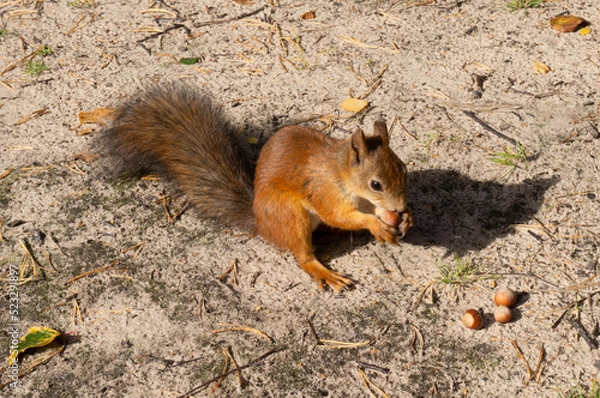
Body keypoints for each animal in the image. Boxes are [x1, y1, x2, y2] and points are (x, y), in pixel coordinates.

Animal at [104, 84, 412, 292]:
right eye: (376, 184)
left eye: (403, 169)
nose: (400, 207)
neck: (341, 175)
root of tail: (261, 223)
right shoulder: (324, 192)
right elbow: (340, 217)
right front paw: (375, 224)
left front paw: (404, 219)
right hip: (288, 215)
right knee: (303, 256)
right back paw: (323, 272)